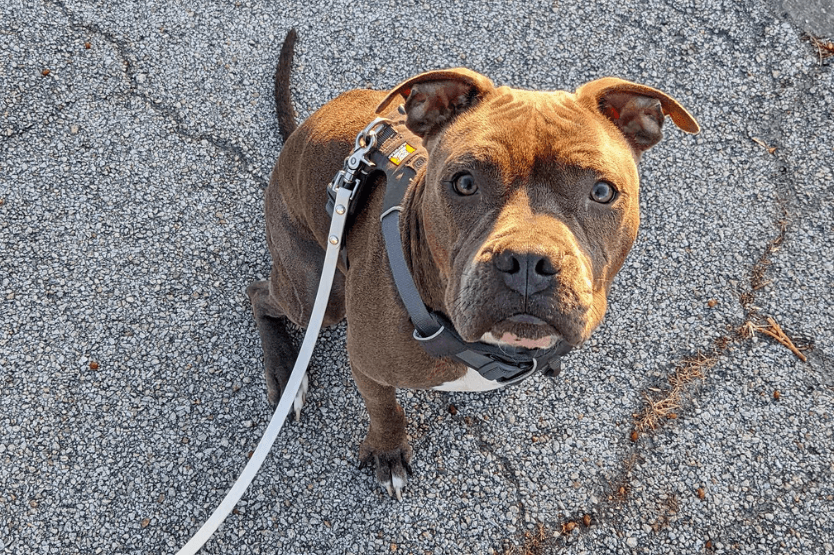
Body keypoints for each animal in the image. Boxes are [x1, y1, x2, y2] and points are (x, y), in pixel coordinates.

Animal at [245, 30, 696, 500]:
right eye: (464, 182)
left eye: (603, 191)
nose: (528, 261)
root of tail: (299, 133)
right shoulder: (367, 366)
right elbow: (384, 409)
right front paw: (388, 451)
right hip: (319, 293)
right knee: (259, 294)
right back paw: (286, 372)